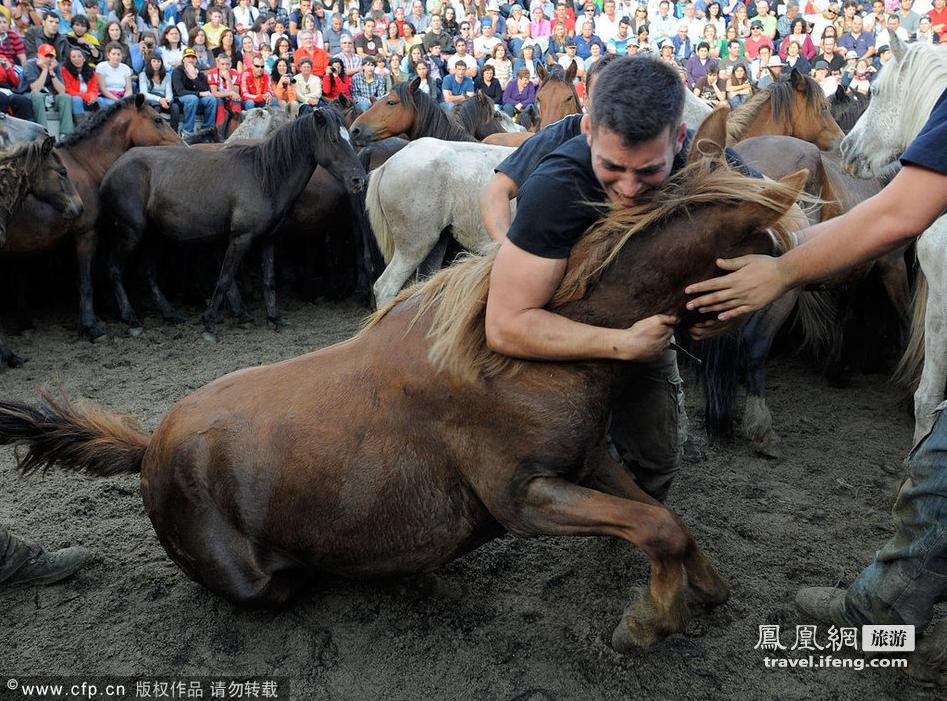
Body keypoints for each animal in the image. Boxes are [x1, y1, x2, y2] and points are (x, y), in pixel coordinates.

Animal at [1, 95, 181, 342]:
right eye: (157, 120)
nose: (184, 146)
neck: (85, 164)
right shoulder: (87, 233)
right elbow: (87, 280)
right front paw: (91, 325)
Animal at [100, 108, 366, 340]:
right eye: (333, 139)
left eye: (350, 139)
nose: (359, 179)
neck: (263, 176)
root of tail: (114, 167)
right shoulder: (240, 238)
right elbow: (225, 277)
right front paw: (209, 324)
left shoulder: (267, 239)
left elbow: (269, 280)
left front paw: (275, 318)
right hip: (131, 233)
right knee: (114, 269)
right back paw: (131, 319)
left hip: (153, 236)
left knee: (148, 273)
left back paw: (169, 314)